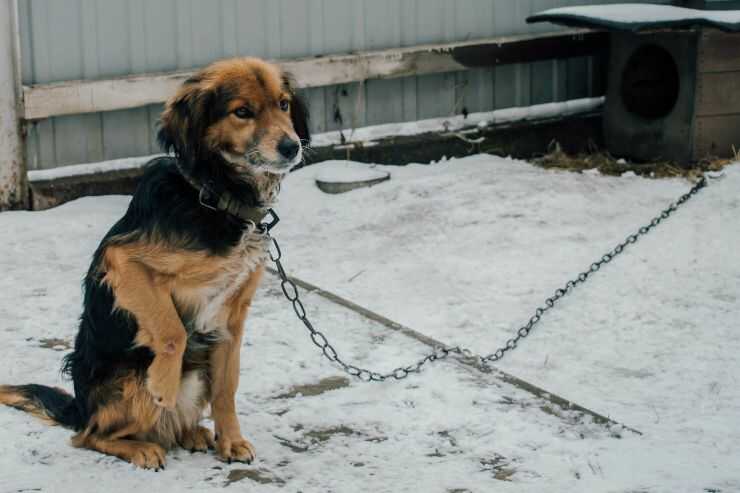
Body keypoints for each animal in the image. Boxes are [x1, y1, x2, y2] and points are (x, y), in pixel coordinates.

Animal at [0, 57, 310, 468]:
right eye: (242, 112)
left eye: (284, 105)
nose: (292, 147)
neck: (214, 196)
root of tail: (81, 408)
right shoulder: (123, 260)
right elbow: (171, 330)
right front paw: (163, 383)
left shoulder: (233, 317)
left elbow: (227, 387)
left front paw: (231, 441)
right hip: (128, 386)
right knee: (89, 436)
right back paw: (141, 447)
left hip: (198, 374)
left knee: (170, 425)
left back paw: (194, 433)